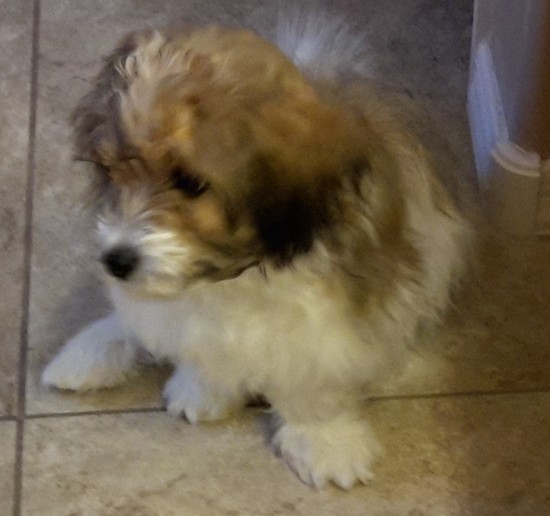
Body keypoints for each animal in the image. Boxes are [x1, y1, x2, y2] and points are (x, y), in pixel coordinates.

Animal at [42, 11, 470, 488]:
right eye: (112, 170)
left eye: (189, 182)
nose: (116, 260)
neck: (235, 272)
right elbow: (198, 344)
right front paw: (202, 390)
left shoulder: (331, 320)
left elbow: (312, 380)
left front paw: (325, 440)